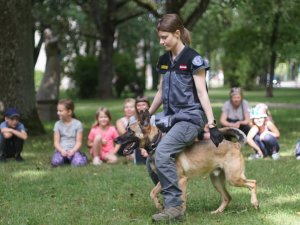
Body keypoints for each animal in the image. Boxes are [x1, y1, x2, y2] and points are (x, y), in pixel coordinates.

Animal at [113, 110, 258, 214]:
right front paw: (160, 206)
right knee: (228, 197)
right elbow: (153, 192)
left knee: (253, 183)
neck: (156, 144)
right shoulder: (164, 179)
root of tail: (236, 145)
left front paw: (178, 214)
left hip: (233, 178)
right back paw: (218, 211)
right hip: (217, 180)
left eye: (130, 131)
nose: (115, 140)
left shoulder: (181, 180)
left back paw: (255, 203)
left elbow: (181, 199)